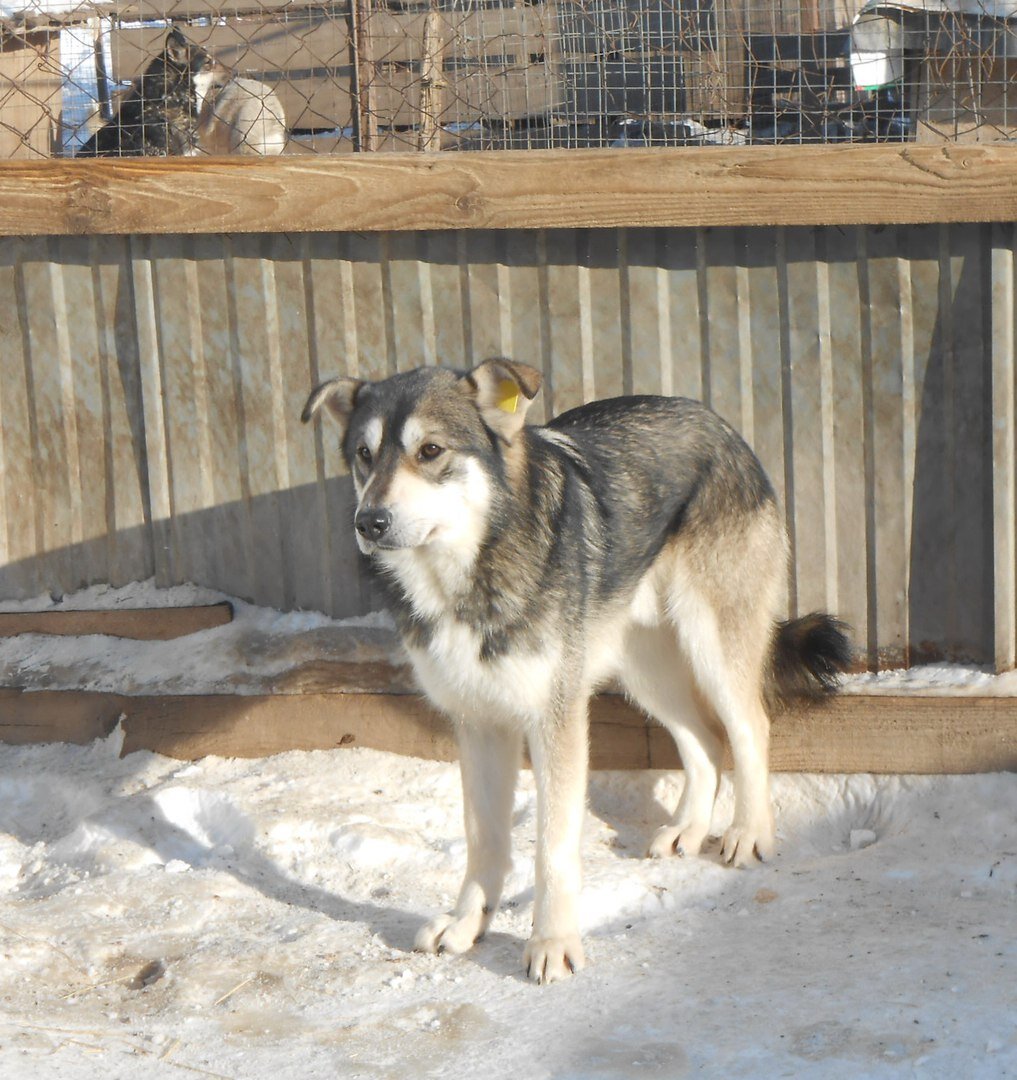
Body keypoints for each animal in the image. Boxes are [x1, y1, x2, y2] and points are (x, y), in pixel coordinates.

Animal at [300, 358, 850, 984]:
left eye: (430, 450)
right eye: (363, 455)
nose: (369, 522)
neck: (470, 573)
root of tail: (718, 423)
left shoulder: (554, 721)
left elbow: (552, 851)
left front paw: (552, 943)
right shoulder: (479, 724)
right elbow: (483, 841)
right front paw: (467, 924)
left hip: (710, 645)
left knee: (748, 726)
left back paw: (749, 834)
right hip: (641, 669)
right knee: (704, 740)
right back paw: (688, 830)